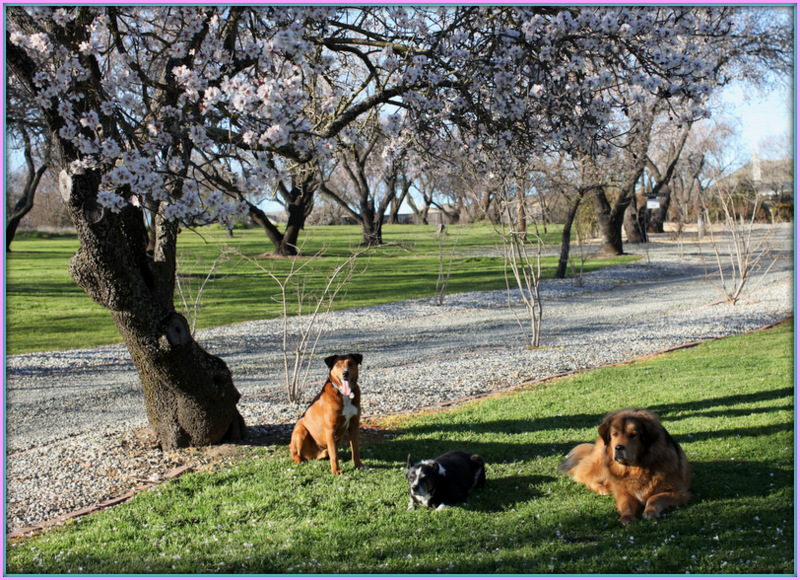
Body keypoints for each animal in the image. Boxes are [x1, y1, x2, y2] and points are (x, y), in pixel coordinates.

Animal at [560, 408, 692, 524]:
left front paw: (650, 511)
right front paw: (627, 516)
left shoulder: (680, 493)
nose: (618, 448)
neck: (637, 468)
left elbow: (655, 497)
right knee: (586, 477)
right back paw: (603, 488)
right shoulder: (623, 492)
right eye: (615, 434)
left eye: (633, 435)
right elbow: (626, 503)